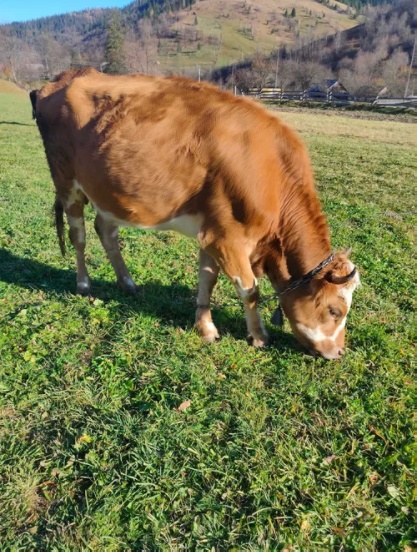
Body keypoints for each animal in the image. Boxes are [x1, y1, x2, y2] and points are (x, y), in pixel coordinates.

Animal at [30, 69, 360, 360]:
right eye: (335, 310)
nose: (339, 352)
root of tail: (65, 77)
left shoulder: (212, 231)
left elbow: (207, 280)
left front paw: (205, 327)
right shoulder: (226, 238)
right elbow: (249, 290)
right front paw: (259, 336)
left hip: (108, 190)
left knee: (106, 232)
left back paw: (127, 283)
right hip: (66, 182)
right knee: (79, 236)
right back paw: (84, 284)